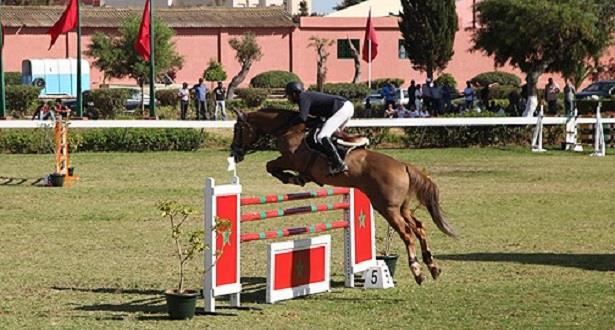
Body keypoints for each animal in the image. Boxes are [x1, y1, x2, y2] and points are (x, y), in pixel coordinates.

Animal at [231, 107, 458, 284]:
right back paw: (432, 266)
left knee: (407, 234)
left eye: (238, 129)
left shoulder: (291, 159)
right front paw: (295, 179)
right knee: (419, 227)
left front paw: (291, 178)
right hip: (402, 207)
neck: (288, 128)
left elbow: (270, 165)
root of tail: (403, 165)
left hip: (387, 208)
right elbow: (271, 166)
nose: (235, 152)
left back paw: (418, 271)